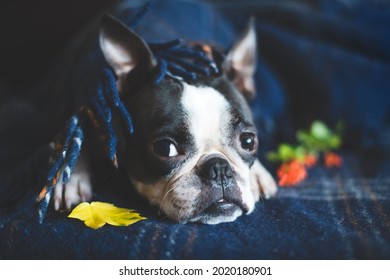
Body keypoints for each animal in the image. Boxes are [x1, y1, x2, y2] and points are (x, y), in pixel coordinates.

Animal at [51, 8, 278, 224]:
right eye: (165, 148)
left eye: (248, 141)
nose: (219, 168)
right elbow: (75, 136)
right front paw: (69, 178)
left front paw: (257, 174)